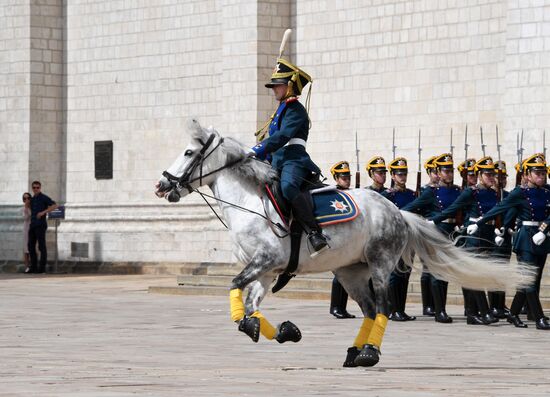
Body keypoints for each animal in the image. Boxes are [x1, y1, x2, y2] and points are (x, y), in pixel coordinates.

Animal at [155, 119, 536, 366]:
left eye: (188, 152)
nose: (162, 185)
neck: (248, 202)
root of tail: (397, 211)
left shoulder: (265, 261)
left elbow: (234, 288)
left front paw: (258, 326)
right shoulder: (266, 270)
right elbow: (249, 305)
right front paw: (281, 330)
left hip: (380, 266)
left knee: (382, 308)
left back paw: (369, 353)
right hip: (351, 273)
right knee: (368, 310)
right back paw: (357, 351)